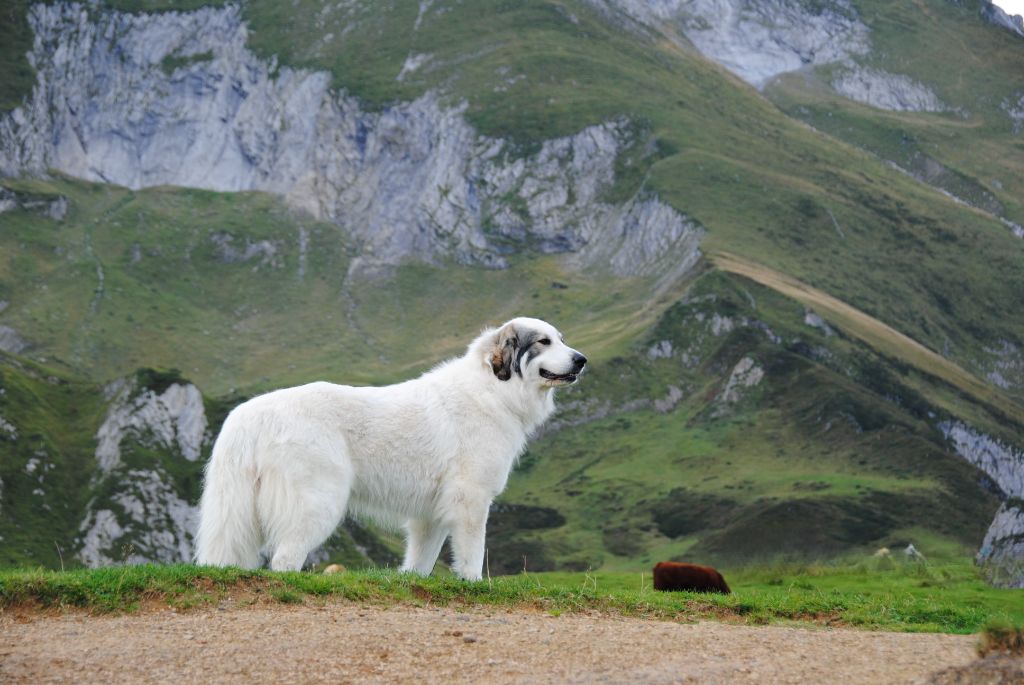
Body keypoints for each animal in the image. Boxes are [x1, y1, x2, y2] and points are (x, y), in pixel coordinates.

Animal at [192, 315, 585, 577]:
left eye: (561, 339)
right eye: (543, 342)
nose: (582, 360)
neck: (493, 390)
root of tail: (251, 414)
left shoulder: (431, 514)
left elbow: (420, 561)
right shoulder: (471, 501)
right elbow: (472, 555)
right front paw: (473, 586)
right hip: (318, 502)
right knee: (285, 559)